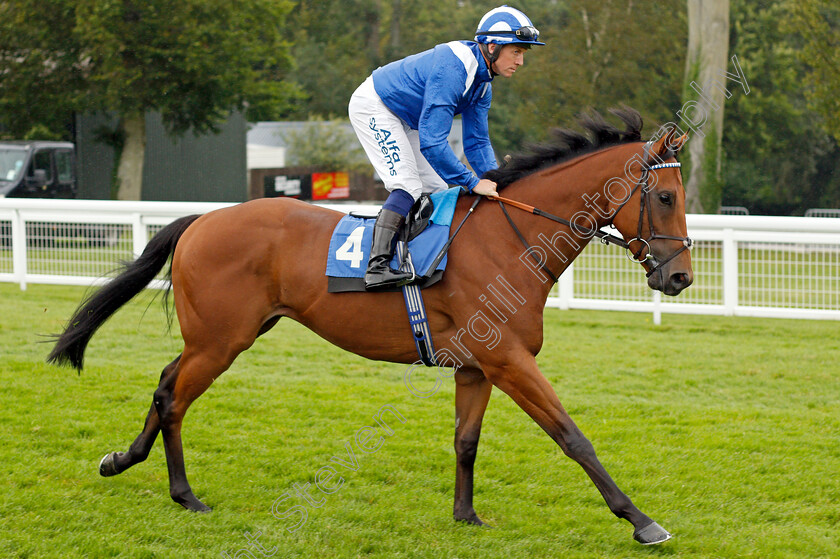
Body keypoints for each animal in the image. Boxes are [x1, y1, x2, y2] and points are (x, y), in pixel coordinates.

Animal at [46, 110, 692, 548]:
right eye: (664, 196)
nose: (681, 276)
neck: (512, 241)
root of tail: (203, 220)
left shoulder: (478, 366)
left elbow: (466, 441)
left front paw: (466, 516)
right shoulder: (510, 360)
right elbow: (572, 436)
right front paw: (642, 521)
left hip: (219, 337)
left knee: (163, 383)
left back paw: (120, 460)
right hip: (220, 340)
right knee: (175, 399)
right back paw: (185, 495)